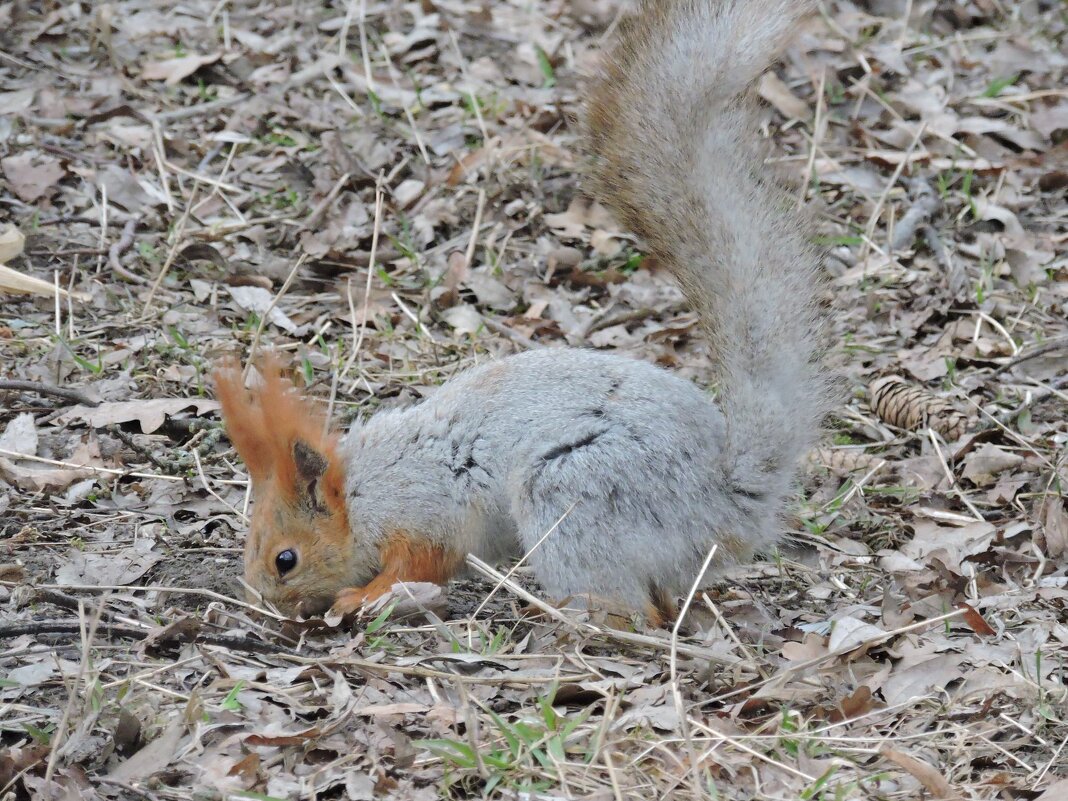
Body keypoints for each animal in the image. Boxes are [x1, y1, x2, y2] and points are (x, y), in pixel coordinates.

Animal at [212, 0, 828, 627]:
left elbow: (421, 562)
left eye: (286, 559)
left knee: (633, 613)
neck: (362, 491)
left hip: (572, 493)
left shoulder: (424, 511)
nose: (262, 605)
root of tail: (724, 503)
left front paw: (363, 596)